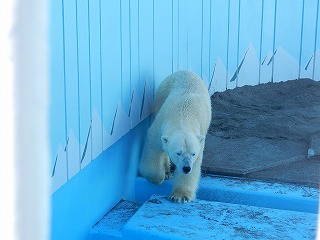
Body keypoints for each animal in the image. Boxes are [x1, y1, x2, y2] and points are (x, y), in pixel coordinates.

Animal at [138, 70, 211, 202]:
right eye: (178, 153)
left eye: (193, 153)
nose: (186, 168)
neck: (183, 115)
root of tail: (186, 71)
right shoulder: (159, 127)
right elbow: (153, 149)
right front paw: (157, 178)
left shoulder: (199, 141)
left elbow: (195, 165)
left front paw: (180, 196)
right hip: (160, 96)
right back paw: (167, 172)